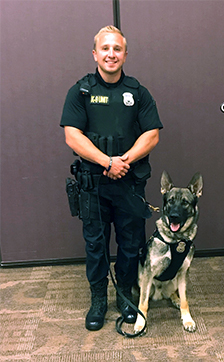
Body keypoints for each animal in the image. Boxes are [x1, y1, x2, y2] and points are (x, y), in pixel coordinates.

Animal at [134, 171, 204, 336]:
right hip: (142, 280)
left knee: (175, 293)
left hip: (175, 281)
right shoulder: (147, 274)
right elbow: (143, 304)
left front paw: (187, 319)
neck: (176, 240)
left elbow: (185, 300)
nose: (173, 216)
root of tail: (160, 294)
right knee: (145, 297)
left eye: (185, 203)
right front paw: (141, 323)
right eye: (170, 201)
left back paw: (175, 299)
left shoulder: (183, 273)